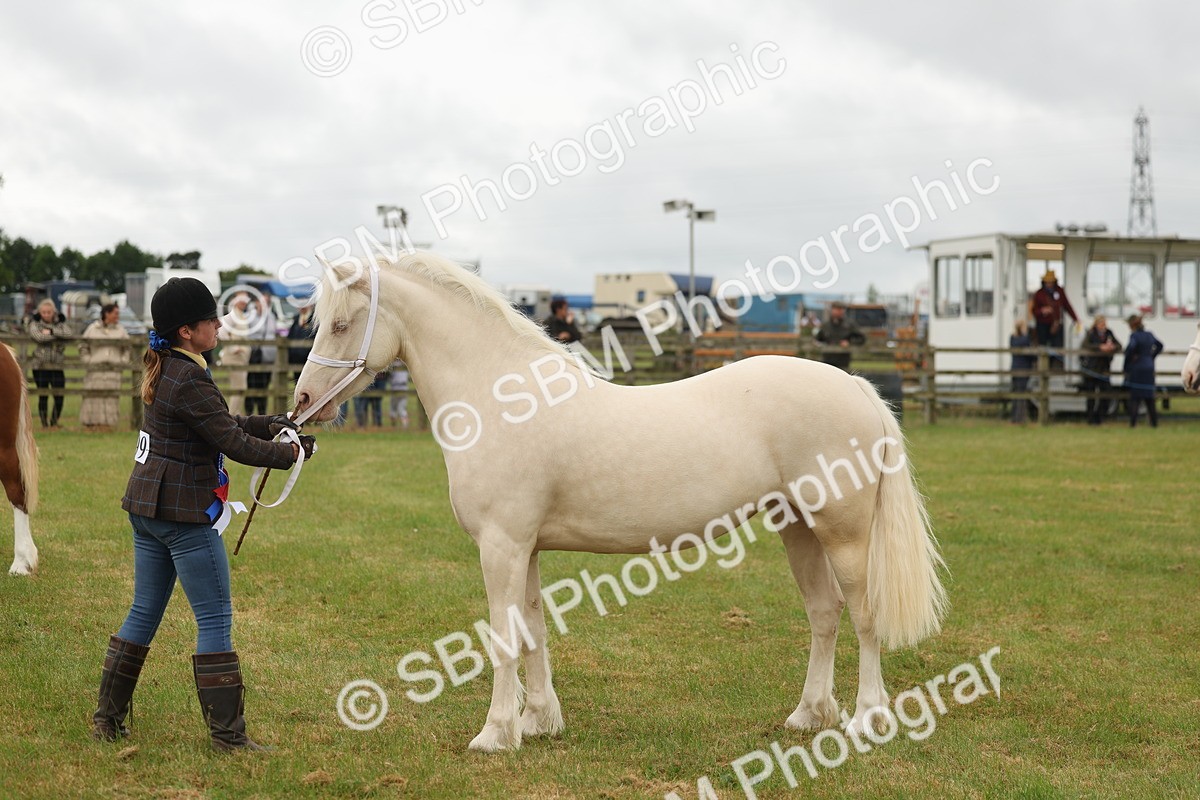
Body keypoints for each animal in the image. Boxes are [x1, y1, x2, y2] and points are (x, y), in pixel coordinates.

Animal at [293, 252, 947, 752]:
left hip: (843, 533)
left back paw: (866, 719)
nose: (302, 402)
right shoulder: (526, 548)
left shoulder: (501, 545)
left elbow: (503, 636)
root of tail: (856, 386)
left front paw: (496, 734)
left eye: (342, 323)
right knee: (824, 613)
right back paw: (809, 715)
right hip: (798, 528)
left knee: (863, 615)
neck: (503, 397)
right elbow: (533, 628)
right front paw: (539, 721)